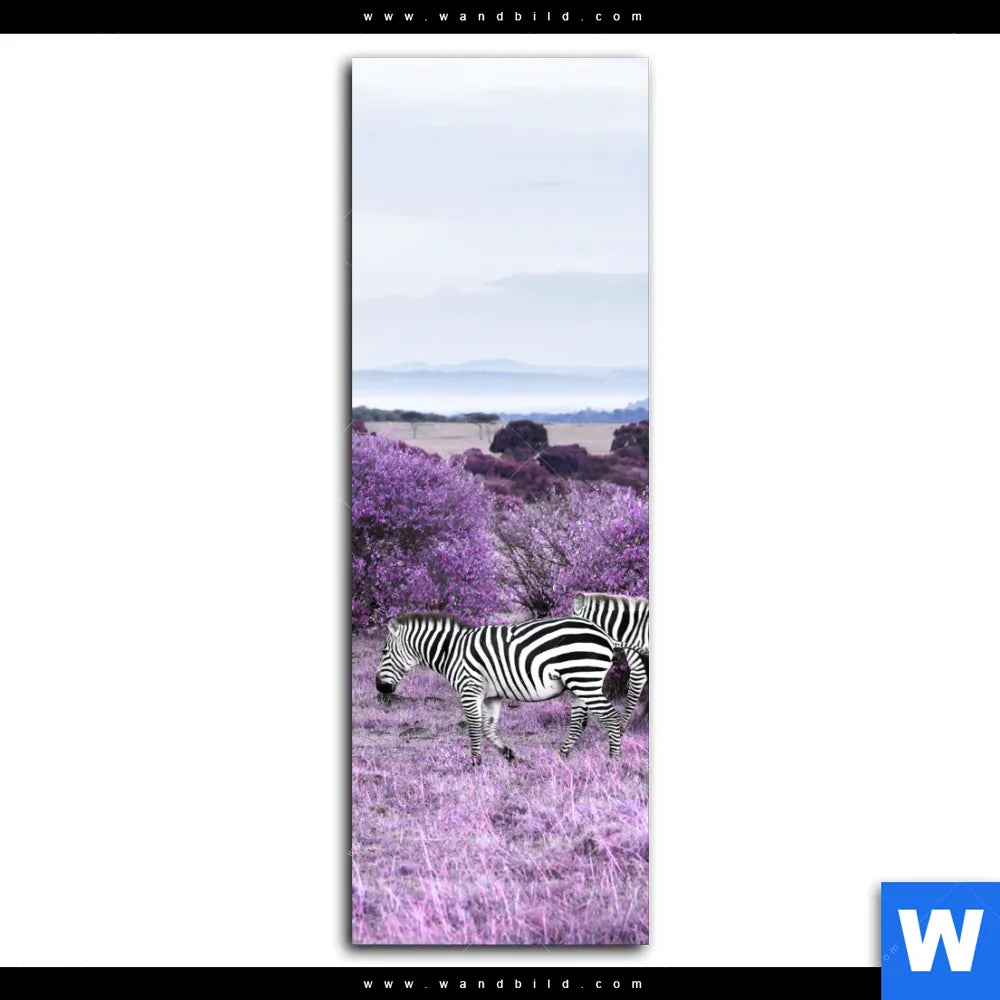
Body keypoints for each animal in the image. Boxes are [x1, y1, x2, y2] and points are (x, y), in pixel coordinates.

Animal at [375, 612, 623, 764]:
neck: (451, 651)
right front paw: (510, 756)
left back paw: (613, 759)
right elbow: (488, 729)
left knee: (611, 717)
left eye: (384, 652)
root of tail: (603, 634)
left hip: (584, 679)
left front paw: (475, 763)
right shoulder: (491, 697)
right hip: (579, 684)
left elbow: (474, 727)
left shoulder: (469, 689)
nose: (379, 687)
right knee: (579, 722)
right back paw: (562, 756)